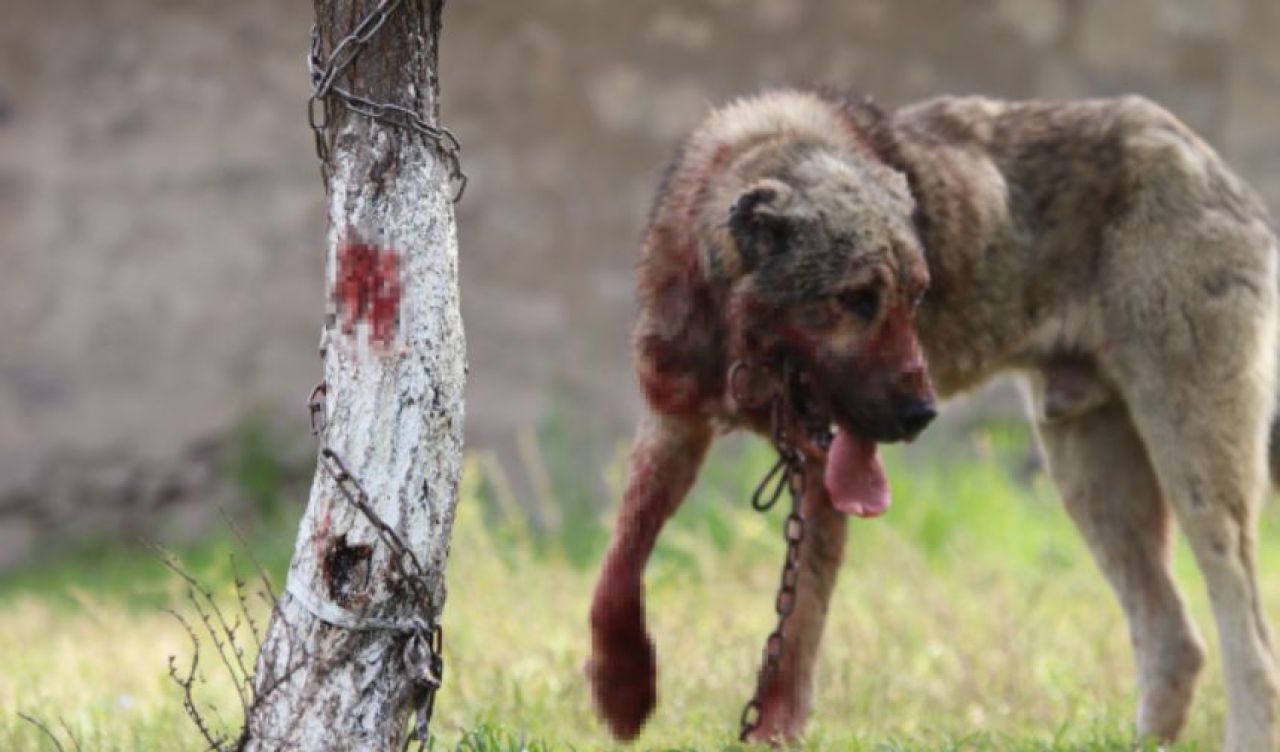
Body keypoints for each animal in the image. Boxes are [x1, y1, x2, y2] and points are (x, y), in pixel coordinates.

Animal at [586, 89, 1280, 752]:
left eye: (916, 296)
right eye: (855, 299)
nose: (922, 415)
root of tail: (1203, 158)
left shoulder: (819, 480)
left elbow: (796, 635)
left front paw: (771, 734)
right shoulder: (674, 427)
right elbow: (620, 564)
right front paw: (622, 686)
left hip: (1193, 464)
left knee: (1248, 641)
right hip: (1092, 475)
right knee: (1175, 639)